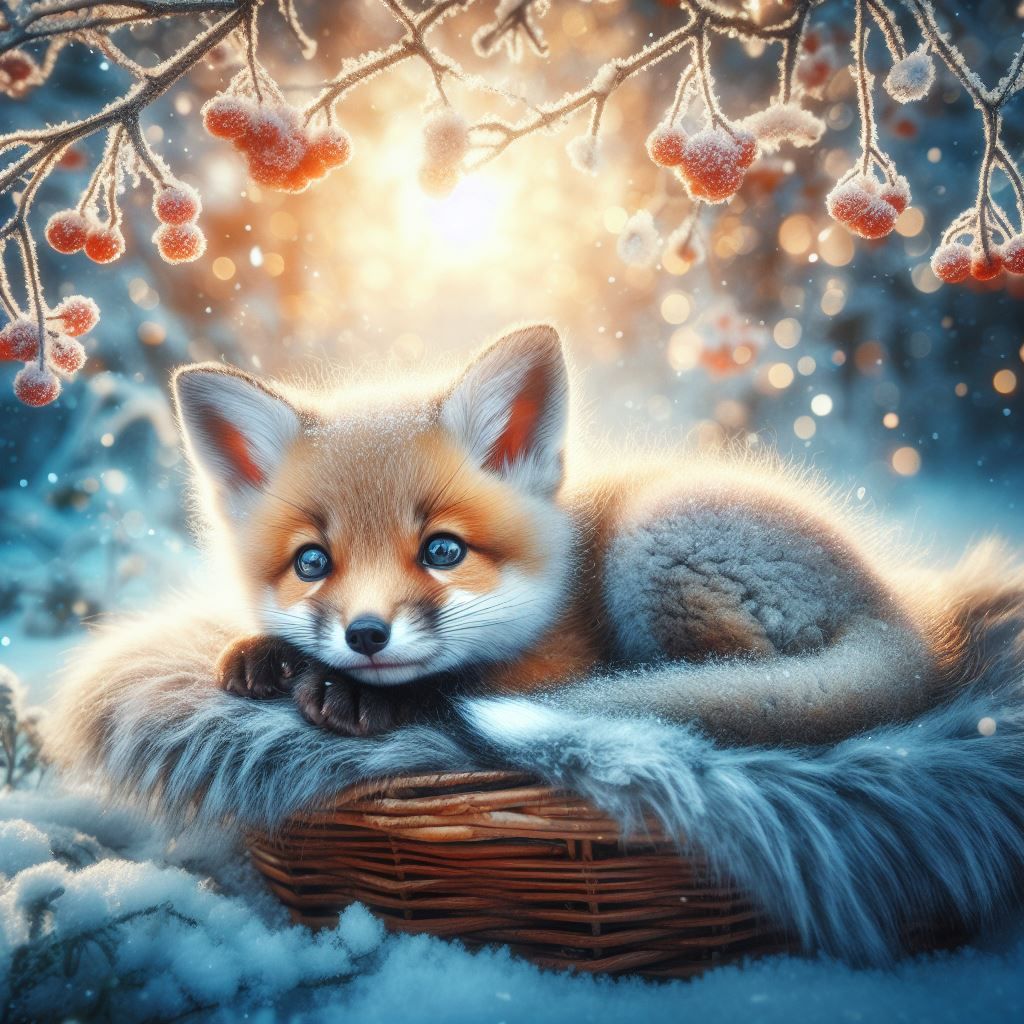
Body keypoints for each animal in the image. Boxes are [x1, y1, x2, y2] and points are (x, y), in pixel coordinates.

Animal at [171, 323, 1020, 743]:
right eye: (312, 563)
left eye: (444, 551)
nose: (367, 637)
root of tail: (901, 616)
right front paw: (270, 656)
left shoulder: (560, 661)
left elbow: (463, 685)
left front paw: (354, 693)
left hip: (654, 543)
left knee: (734, 687)